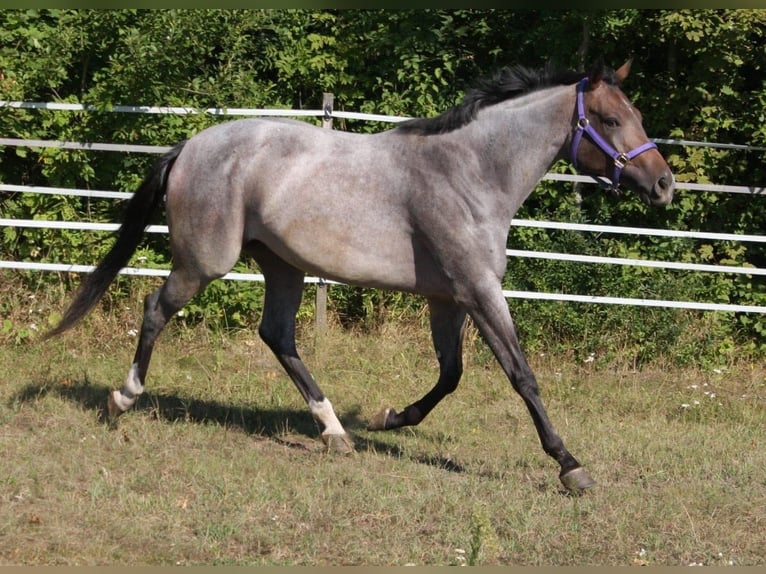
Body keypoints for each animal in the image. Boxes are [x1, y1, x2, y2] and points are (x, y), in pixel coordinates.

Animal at [44, 60, 674, 493]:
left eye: (638, 115)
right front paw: (570, 466)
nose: (665, 184)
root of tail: (188, 146)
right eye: (611, 119)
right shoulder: (478, 290)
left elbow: (451, 376)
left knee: (278, 336)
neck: (470, 172)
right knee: (156, 309)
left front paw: (392, 418)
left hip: (283, 267)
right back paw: (122, 400)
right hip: (205, 262)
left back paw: (335, 432)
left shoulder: (448, 298)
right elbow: (522, 376)